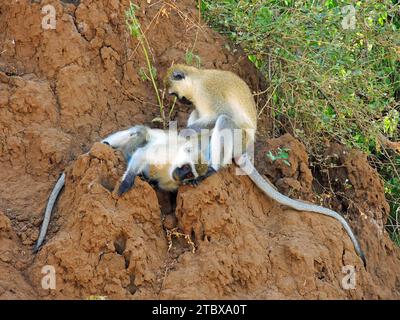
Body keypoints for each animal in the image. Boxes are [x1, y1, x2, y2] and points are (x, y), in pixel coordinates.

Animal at [163, 63, 366, 266]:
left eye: (175, 94)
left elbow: (221, 114)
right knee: (199, 116)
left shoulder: (210, 91)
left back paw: (213, 169)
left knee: (223, 121)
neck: (197, 81)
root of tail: (246, 150)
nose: (181, 102)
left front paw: (182, 131)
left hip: (239, 140)